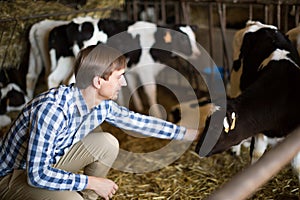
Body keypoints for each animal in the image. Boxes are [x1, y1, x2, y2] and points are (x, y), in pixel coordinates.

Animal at [44, 18, 202, 118]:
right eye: (182, 38)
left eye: (195, 37)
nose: (197, 53)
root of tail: (71, 24)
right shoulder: (146, 69)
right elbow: (150, 90)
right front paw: (157, 113)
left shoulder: (132, 67)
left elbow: (132, 84)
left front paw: (137, 106)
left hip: (66, 59)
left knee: (54, 78)